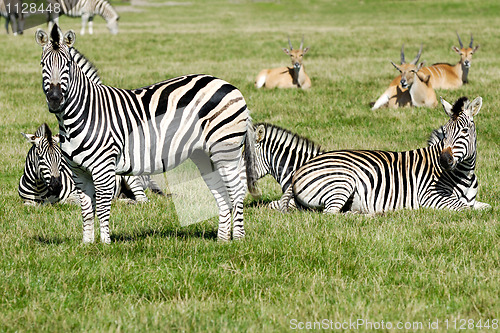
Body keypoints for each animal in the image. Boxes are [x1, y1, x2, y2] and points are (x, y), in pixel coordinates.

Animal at [19, 122, 162, 205]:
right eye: (40, 157)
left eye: (60, 158)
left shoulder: (75, 194)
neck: (39, 187)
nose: (57, 186)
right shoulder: (26, 202)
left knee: (142, 200)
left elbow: (66, 202)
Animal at [35, 26, 258, 243]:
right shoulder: (79, 172)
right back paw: (222, 240)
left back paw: (238, 239)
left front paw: (105, 244)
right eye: (43, 64)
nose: (54, 99)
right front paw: (87, 244)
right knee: (221, 192)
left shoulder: (103, 168)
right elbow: (87, 210)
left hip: (225, 149)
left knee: (237, 190)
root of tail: (228, 85)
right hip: (204, 155)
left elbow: (103, 208)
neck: (86, 112)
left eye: (67, 64)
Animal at [282, 96, 492, 213]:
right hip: (342, 182)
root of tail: (298, 171)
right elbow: (466, 210)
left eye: (464, 131)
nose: (444, 160)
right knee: (330, 215)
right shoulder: (430, 196)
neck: (464, 174)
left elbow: (486, 208)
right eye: (445, 132)